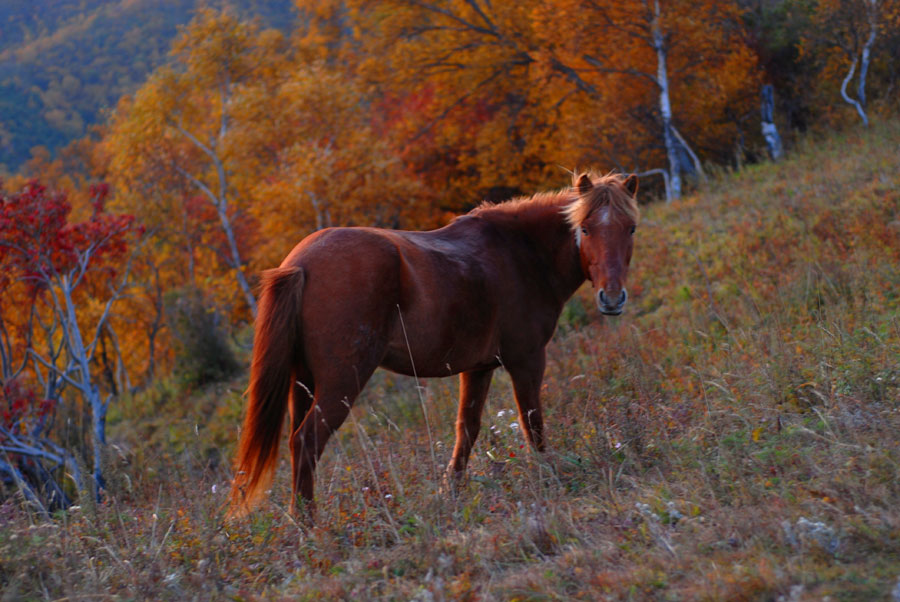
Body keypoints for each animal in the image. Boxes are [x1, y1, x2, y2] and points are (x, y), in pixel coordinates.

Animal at [232, 170, 640, 516]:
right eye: (585, 228)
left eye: (631, 228)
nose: (612, 298)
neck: (519, 253)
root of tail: (300, 263)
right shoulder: (526, 359)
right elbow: (532, 422)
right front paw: (548, 475)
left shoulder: (478, 368)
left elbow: (467, 429)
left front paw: (451, 491)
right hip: (341, 383)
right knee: (306, 442)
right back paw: (308, 525)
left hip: (302, 382)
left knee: (297, 444)